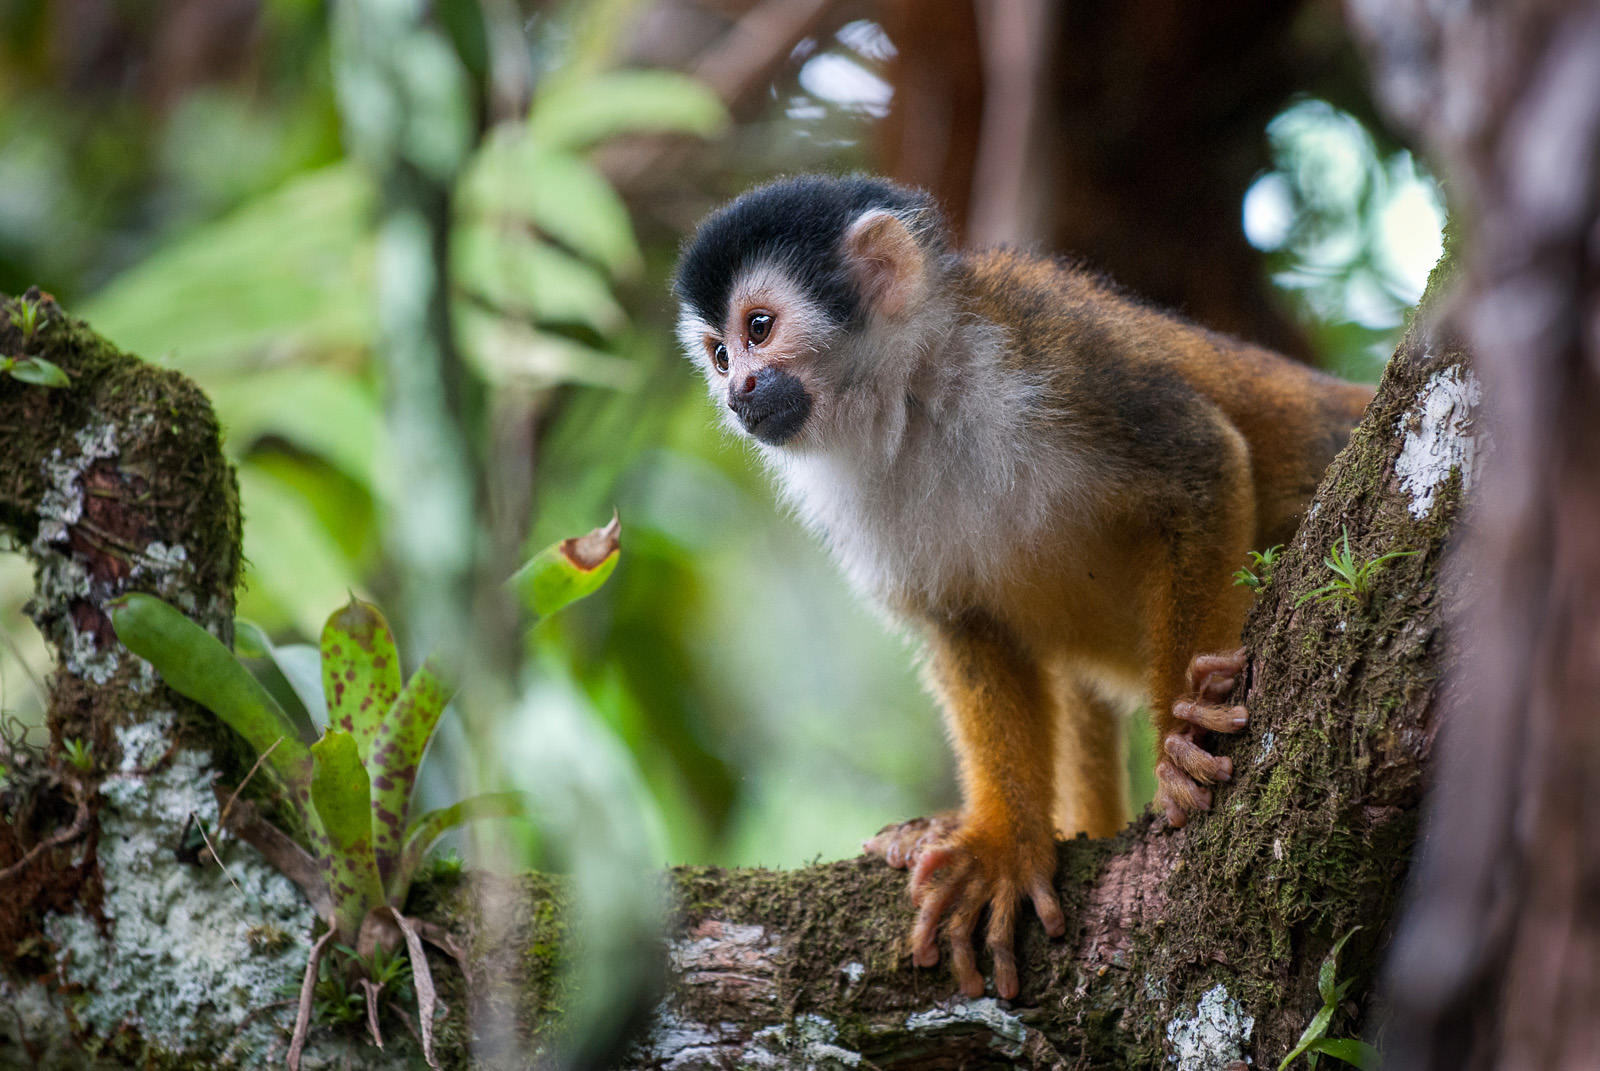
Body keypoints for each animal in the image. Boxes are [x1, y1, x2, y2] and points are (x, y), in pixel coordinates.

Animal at [668, 177, 1369, 1005]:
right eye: (718, 354)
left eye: (760, 327)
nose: (738, 390)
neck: (913, 398)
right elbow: (963, 622)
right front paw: (1006, 842)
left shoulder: (1055, 356)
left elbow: (1200, 464)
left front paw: (1185, 734)